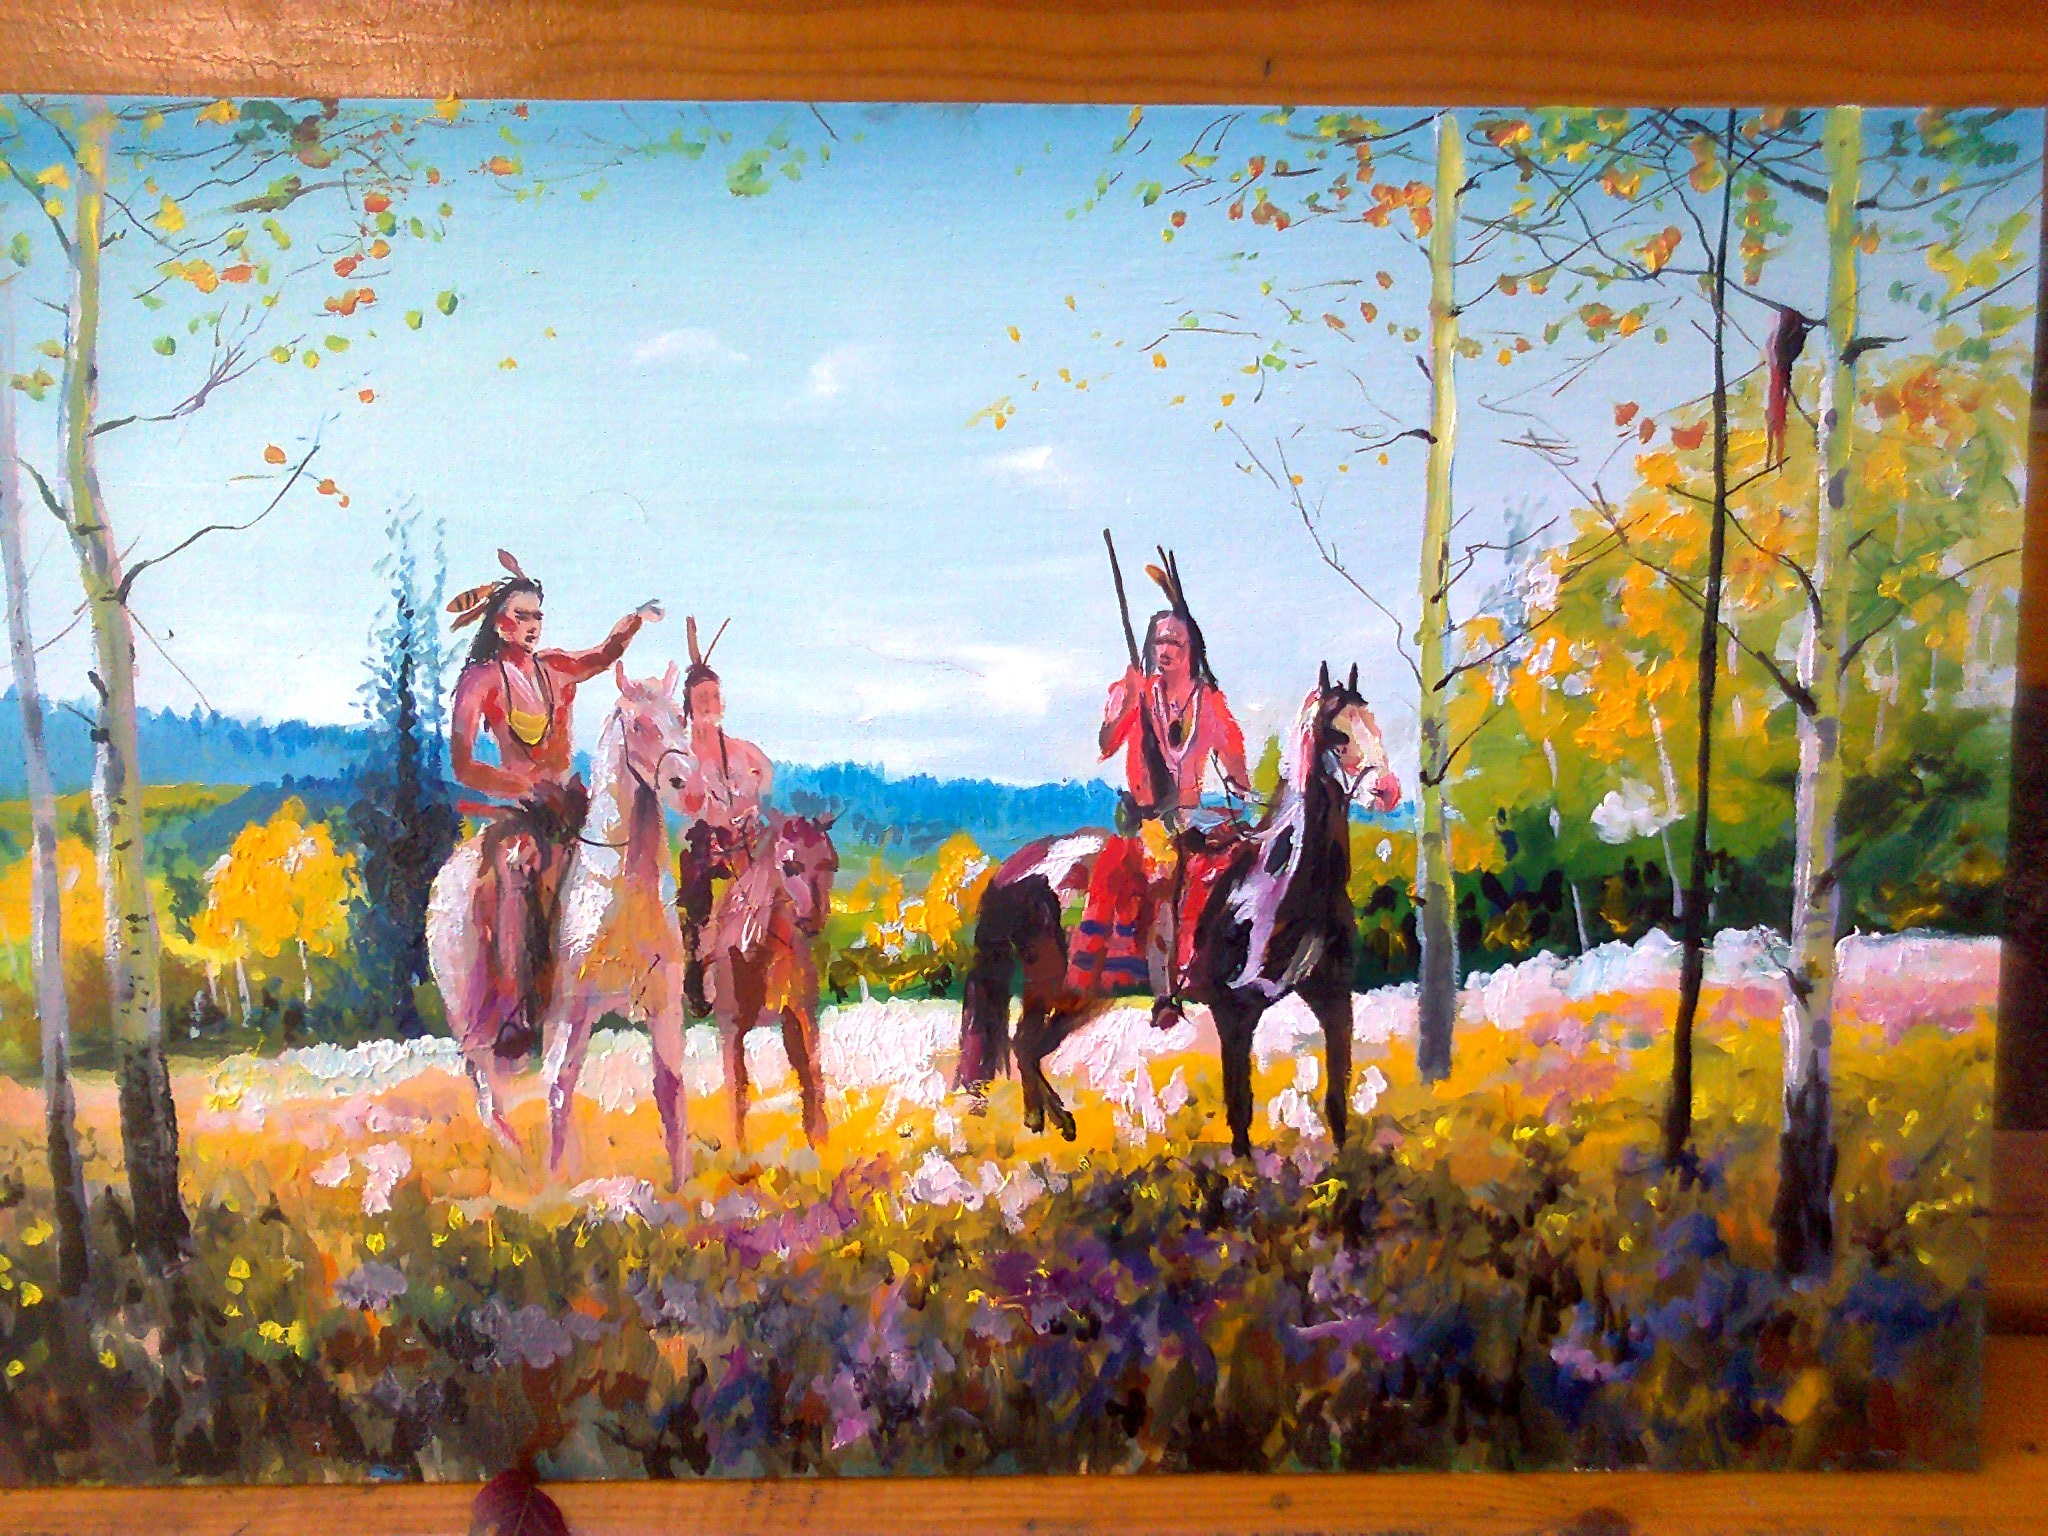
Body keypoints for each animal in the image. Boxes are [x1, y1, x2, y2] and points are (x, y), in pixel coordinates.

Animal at [698, 811, 840, 1153]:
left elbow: (812, 1071)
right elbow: (737, 1090)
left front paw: (822, 1143)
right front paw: (739, 1155)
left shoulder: (802, 1014)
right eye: (789, 865)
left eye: (831, 865)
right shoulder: (731, 1029)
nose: (812, 920)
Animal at [956, 663, 1401, 1157]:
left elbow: (1338, 1098)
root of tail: (1016, 867)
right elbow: (1240, 1106)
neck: (1286, 884)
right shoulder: (1234, 1009)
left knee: (1028, 1047)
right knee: (1024, 1044)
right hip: (1053, 985)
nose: (1388, 791)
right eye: (1338, 735)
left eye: (1376, 724)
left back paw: (1048, 1121)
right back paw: (1053, 1122)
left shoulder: (1335, 999)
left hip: (1081, 996)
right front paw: (1245, 1172)